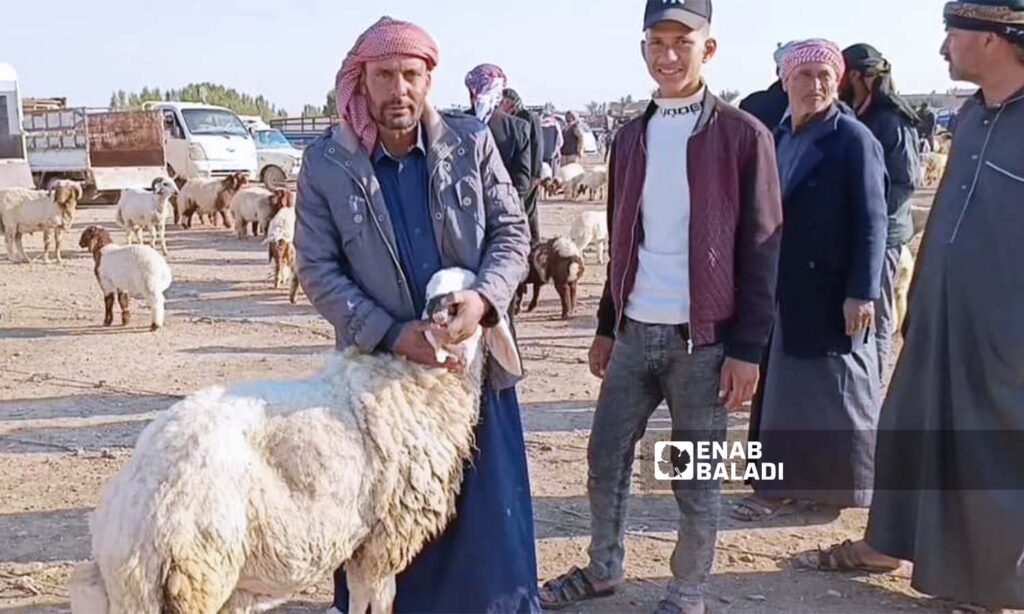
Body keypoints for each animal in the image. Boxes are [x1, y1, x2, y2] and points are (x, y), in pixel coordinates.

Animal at [66, 268, 520, 614]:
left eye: (464, 298)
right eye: (430, 295)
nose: (437, 311)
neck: (420, 378)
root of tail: (131, 526)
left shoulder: (364, 545)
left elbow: (362, 598)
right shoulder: (384, 539)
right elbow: (378, 600)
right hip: (198, 572)